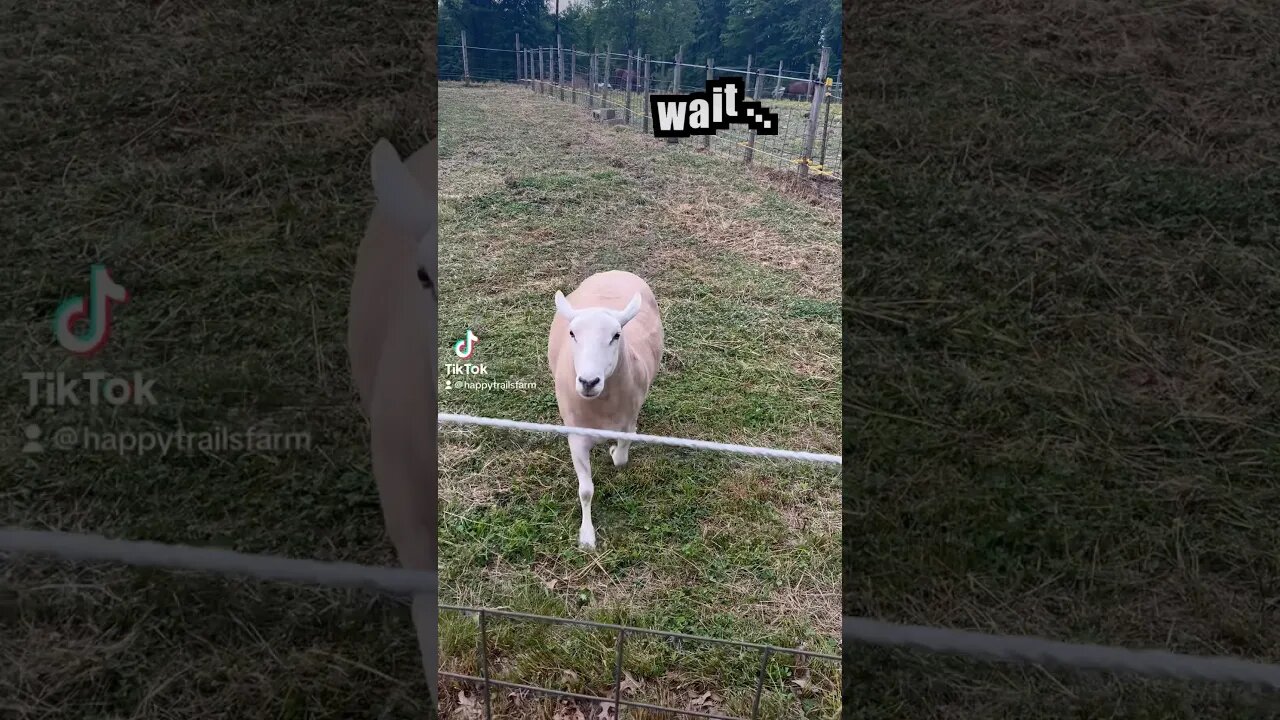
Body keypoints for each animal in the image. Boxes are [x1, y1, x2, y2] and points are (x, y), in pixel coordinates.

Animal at [545, 271, 665, 545]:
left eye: (616, 335)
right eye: (572, 333)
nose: (589, 381)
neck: (599, 409)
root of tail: (615, 272)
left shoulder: (628, 423)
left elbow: (621, 458)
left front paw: (612, 452)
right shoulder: (576, 435)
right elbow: (586, 491)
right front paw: (587, 536)